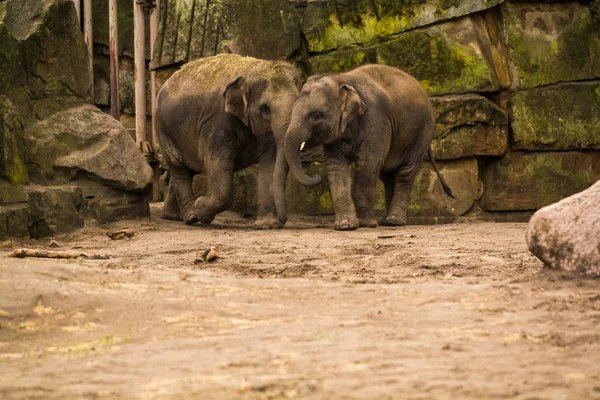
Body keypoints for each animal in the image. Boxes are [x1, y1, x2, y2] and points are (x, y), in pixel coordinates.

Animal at [156, 54, 300, 228]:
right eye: (265, 109)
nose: (284, 220)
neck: (250, 70)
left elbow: (270, 165)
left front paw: (268, 225)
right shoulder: (217, 121)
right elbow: (217, 163)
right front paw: (201, 208)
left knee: (188, 169)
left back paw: (172, 216)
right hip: (164, 129)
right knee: (179, 168)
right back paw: (192, 216)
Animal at [284, 64, 452, 230]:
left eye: (316, 116)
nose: (316, 176)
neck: (341, 79)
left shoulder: (377, 121)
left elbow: (367, 165)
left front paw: (367, 224)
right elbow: (336, 167)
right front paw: (345, 226)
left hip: (423, 132)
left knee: (405, 172)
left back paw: (394, 221)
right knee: (387, 175)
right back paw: (385, 221)